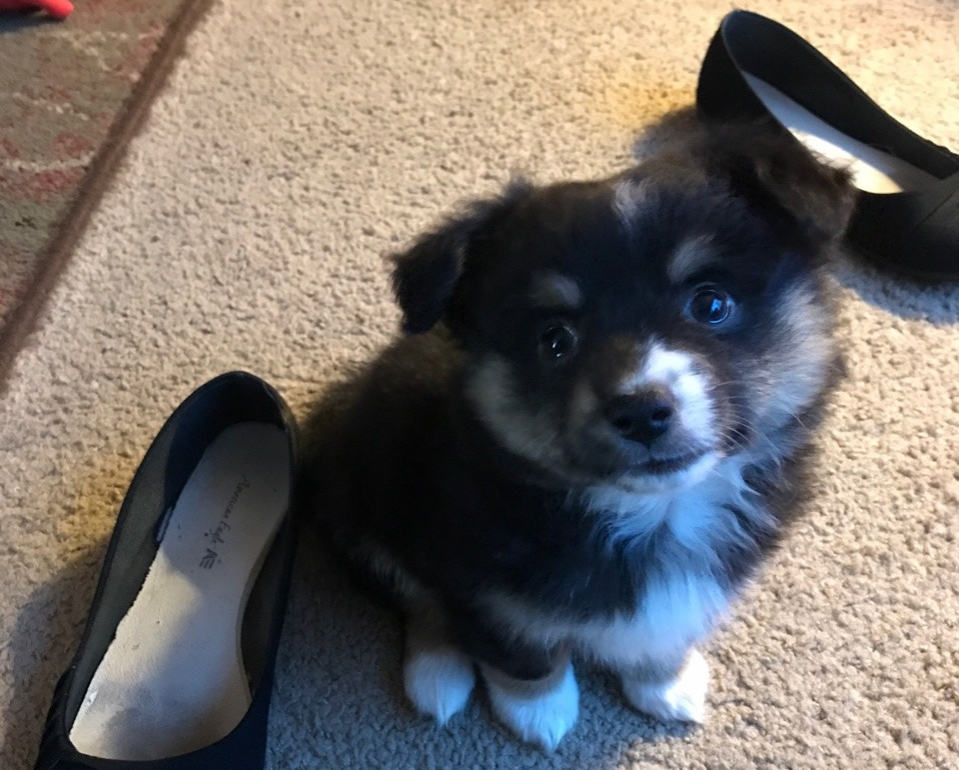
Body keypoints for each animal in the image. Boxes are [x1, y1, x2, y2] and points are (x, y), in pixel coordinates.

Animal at [308, 123, 856, 748]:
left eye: (711, 303)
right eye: (555, 339)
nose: (641, 411)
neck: (654, 517)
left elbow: (665, 630)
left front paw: (665, 682)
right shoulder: (483, 586)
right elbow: (522, 650)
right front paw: (539, 712)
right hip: (360, 498)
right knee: (414, 596)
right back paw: (438, 674)